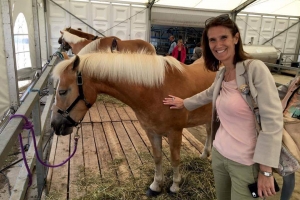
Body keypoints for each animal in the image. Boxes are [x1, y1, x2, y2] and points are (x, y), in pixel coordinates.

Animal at [51, 50, 216, 196]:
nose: (55, 125)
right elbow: (157, 157)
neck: (157, 90)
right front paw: (156, 186)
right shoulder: (152, 131)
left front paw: (175, 186)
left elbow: (175, 159)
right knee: (209, 131)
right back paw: (204, 155)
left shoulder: (175, 132)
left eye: (62, 92)